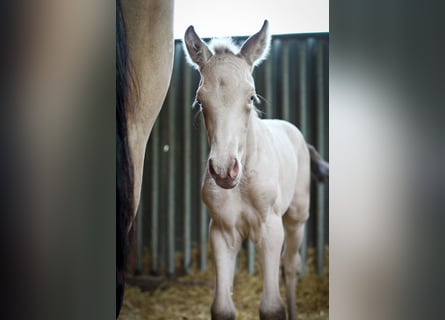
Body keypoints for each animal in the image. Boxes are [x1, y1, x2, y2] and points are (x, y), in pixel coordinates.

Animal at [184, 20, 326, 320]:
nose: (224, 170)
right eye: (200, 101)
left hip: (296, 217)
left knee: (291, 266)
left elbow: (272, 307)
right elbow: (222, 308)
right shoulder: (222, 232)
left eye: (251, 97)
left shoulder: (270, 228)